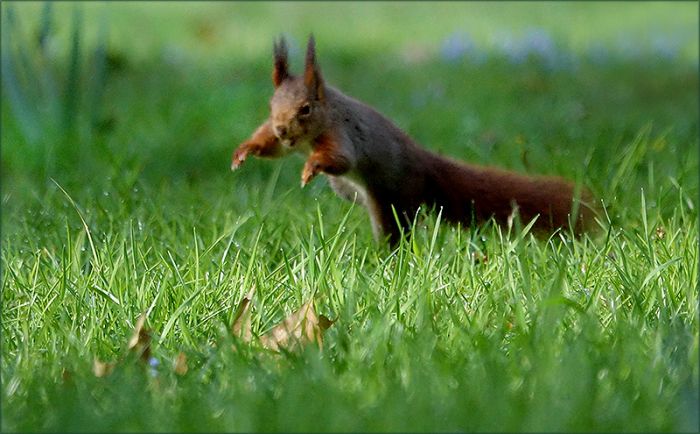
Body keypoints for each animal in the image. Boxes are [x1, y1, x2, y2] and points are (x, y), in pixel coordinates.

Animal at [231, 35, 596, 245]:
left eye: (305, 109)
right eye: (271, 105)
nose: (282, 128)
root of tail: (424, 163)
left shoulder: (341, 133)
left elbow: (340, 158)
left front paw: (311, 167)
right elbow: (272, 148)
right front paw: (244, 151)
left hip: (396, 198)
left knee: (397, 229)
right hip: (355, 193)